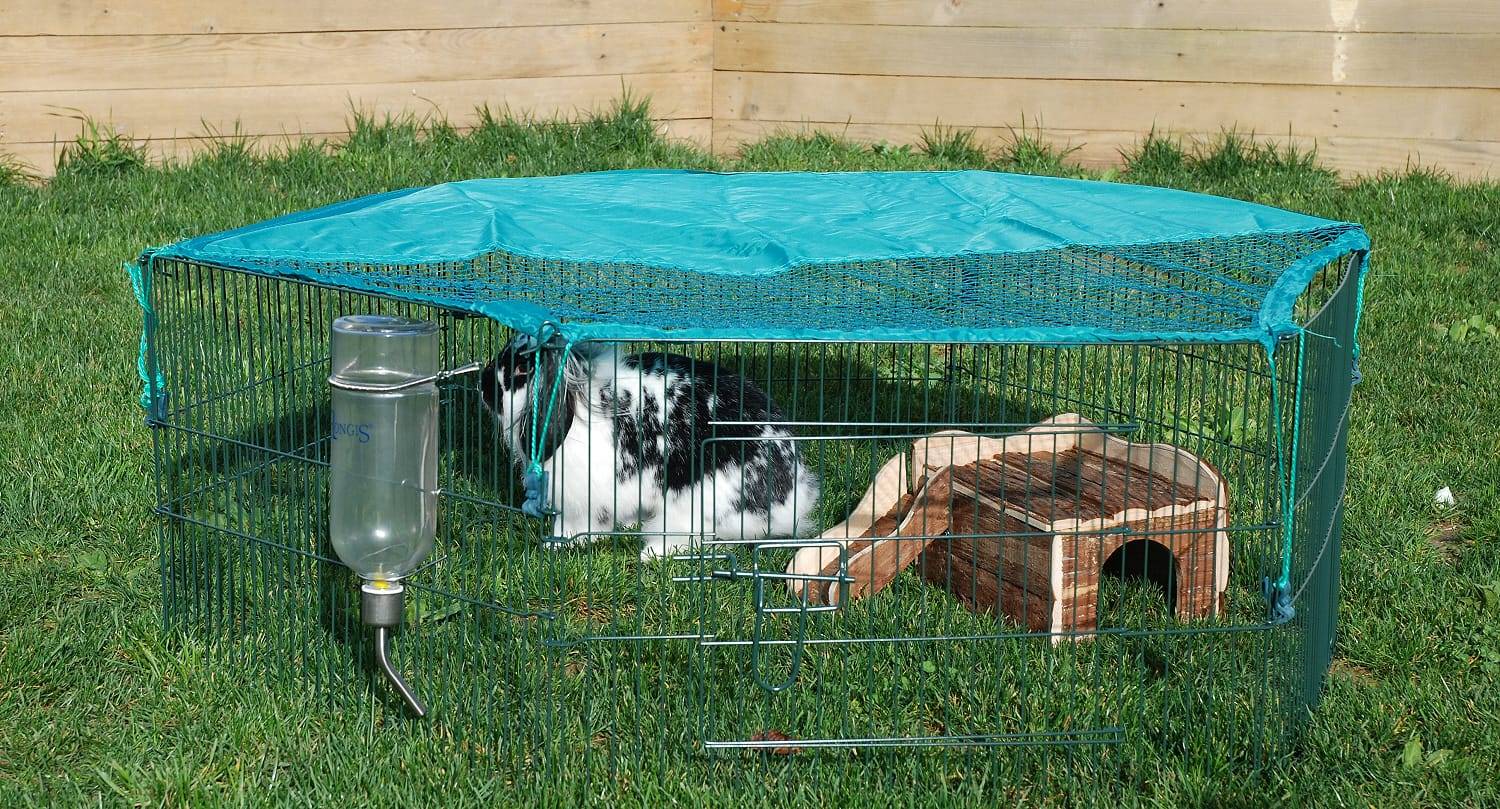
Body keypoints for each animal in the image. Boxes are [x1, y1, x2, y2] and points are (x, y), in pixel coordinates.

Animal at [479, 337, 820, 560]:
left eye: (521, 373)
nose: (483, 386)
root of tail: (793, 502)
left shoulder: (585, 492)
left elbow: (578, 524)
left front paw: (557, 542)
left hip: (693, 501)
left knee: (694, 536)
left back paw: (651, 553)